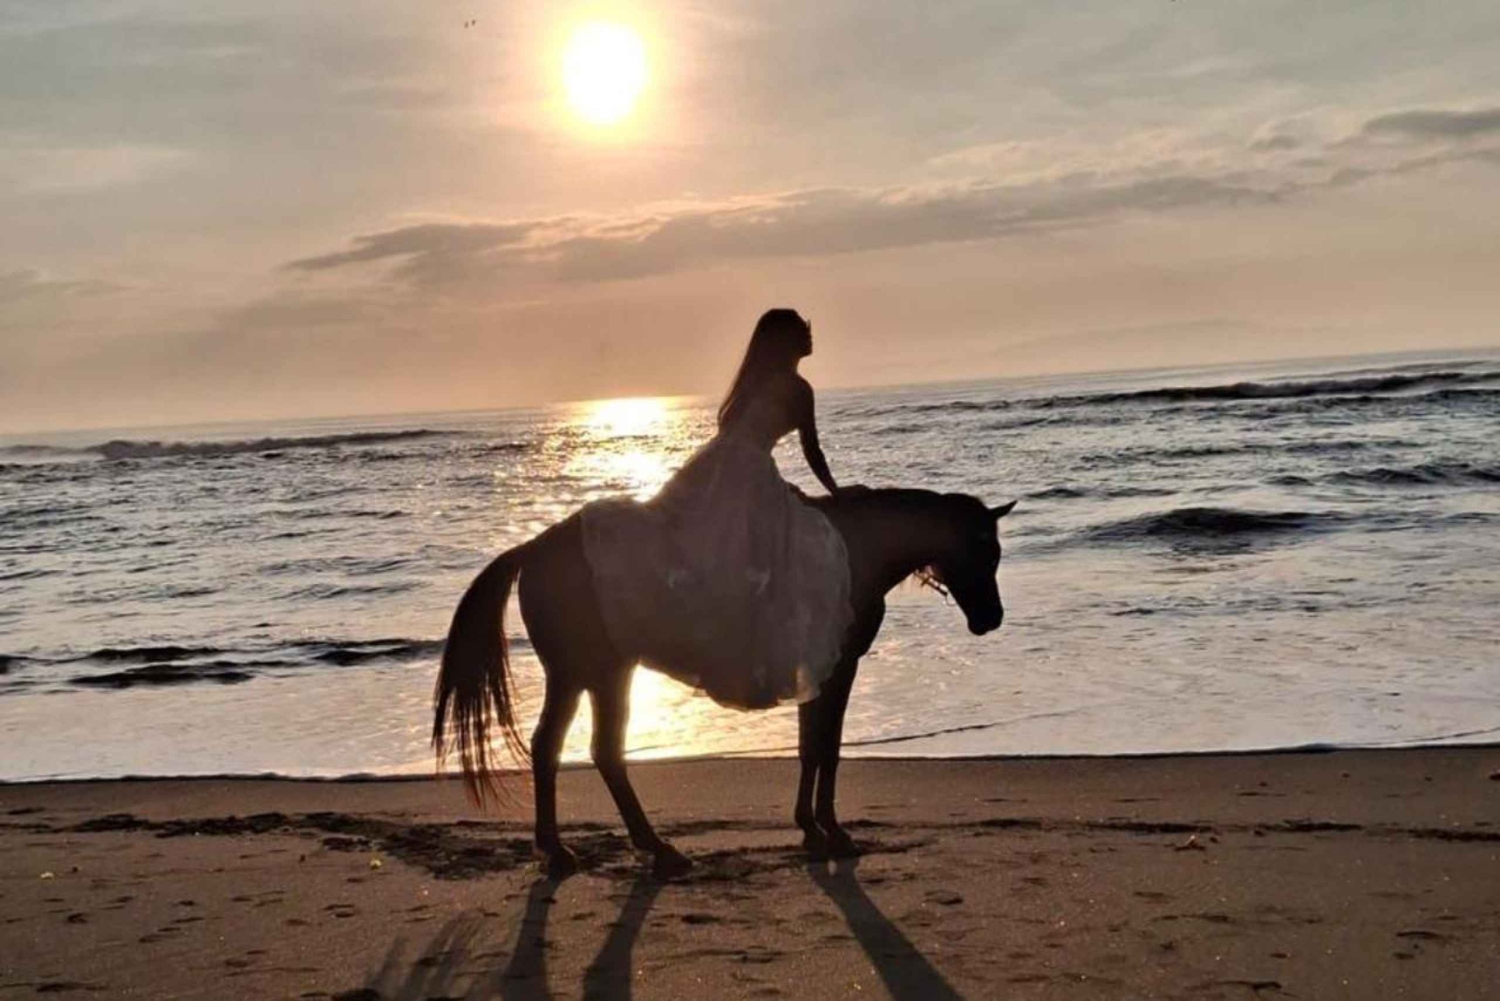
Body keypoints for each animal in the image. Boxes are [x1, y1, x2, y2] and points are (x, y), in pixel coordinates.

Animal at [432, 487, 1016, 878]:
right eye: (983, 550)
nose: (991, 619)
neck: (849, 549)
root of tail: (533, 549)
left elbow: (810, 748)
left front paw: (810, 827)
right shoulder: (838, 668)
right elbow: (826, 748)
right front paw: (831, 831)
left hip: (580, 675)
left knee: (554, 747)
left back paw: (564, 849)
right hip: (600, 672)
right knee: (600, 751)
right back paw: (649, 849)